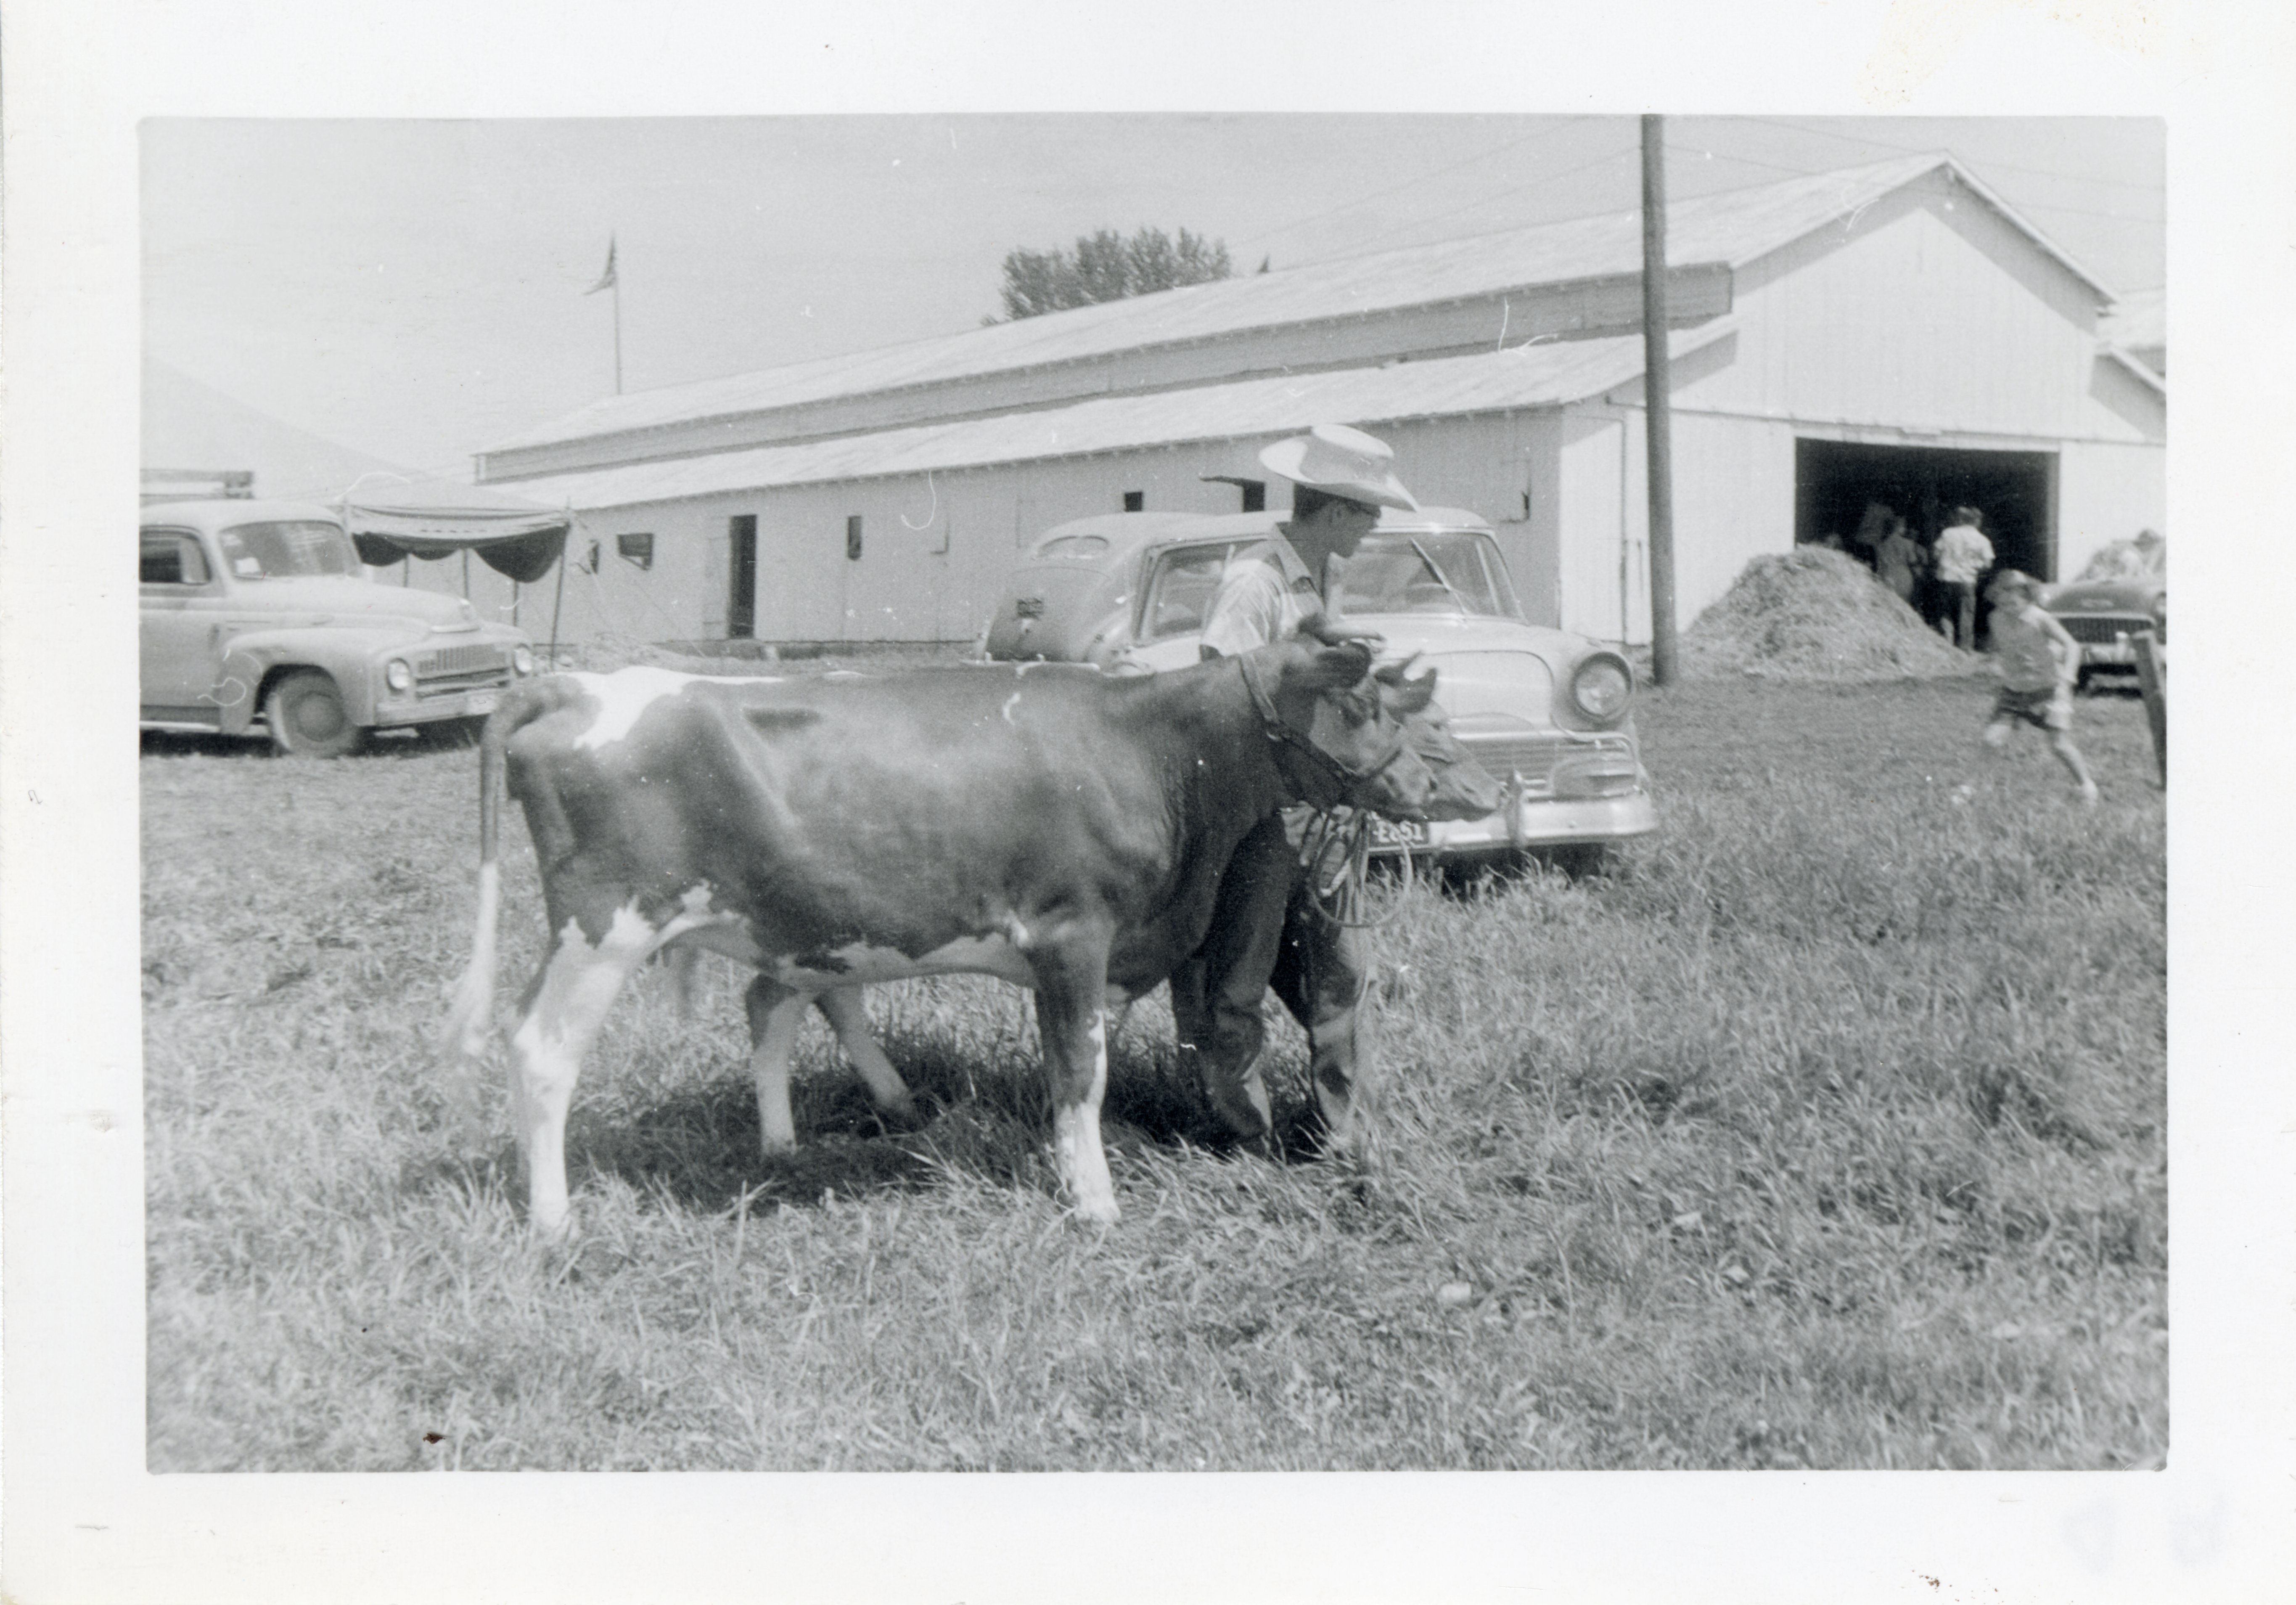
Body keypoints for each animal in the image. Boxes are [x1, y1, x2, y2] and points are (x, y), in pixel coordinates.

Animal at [442, 637, 1499, 1234]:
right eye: (1369, 704)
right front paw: (1096, 1202)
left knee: (773, 1006)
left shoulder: (1102, 948)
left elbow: (1082, 1061)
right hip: (603, 924)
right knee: (542, 1051)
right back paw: (554, 1222)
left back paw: (787, 1144)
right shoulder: (1073, 931)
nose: (1474, 783)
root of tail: (576, 686)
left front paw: (1078, 1162)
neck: (1151, 748)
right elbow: (1079, 1067)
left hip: (790, 917)